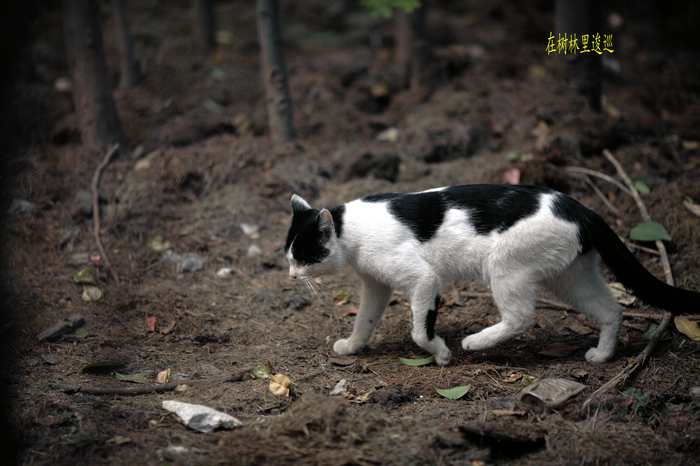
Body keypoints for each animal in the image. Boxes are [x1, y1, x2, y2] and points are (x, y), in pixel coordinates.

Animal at [282, 185, 696, 364]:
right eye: (288, 256)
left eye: (302, 258)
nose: (290, 275)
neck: (349, 229)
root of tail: (582, 209)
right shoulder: (376, 286)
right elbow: (365, 321)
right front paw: (352, 347)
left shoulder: (424, 279)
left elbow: (420, 331)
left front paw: (441, 353)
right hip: (571, 278)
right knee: (611, 311)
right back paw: (602, 356)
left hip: (505, 266)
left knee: (521, 317)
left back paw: (476, 343)